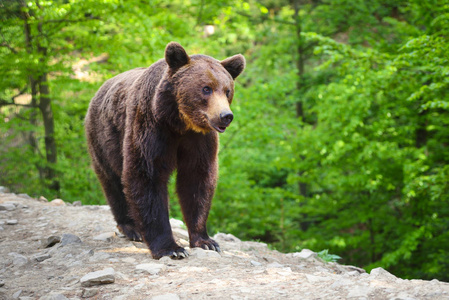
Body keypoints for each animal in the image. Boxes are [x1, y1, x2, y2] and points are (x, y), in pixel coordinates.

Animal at [84, 41, 245, 258]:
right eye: (206, 88)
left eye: (227, 90)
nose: (225, 116)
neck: (179, 122)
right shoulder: (150, 127)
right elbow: (146, 177)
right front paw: (171, 248)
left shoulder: (199, 140)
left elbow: (197, 180)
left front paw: (205, 241)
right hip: (104, 138)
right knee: (112, 181)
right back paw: (131, 227)